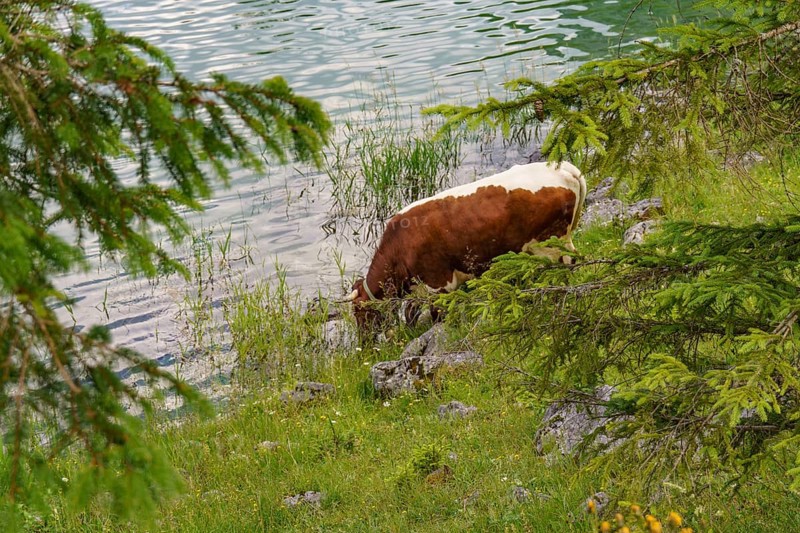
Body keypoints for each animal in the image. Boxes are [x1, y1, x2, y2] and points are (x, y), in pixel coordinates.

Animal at [344, 161, 587, 330]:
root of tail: (564, 167)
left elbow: (437, 314)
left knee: (565, 266)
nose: (365, 343)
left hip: (551, 244)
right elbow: (411, 314)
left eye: (359, 313)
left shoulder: (439, 283)